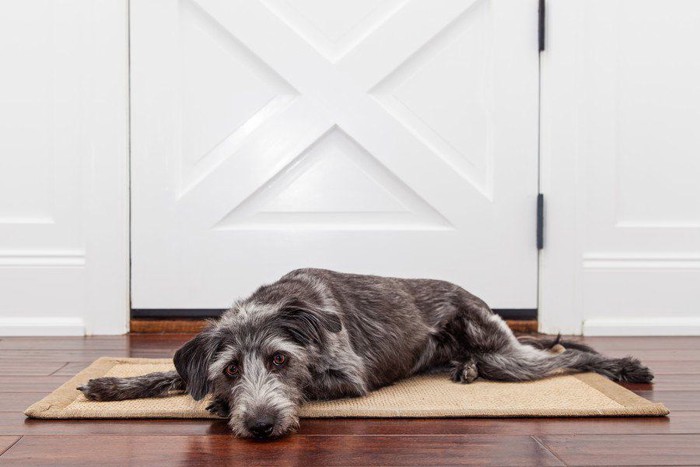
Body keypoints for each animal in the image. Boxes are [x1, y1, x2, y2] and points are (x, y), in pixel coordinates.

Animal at [79, 270, 652, 438]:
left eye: (280, 361)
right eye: (231, 368)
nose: (261, 426)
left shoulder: (349, 378)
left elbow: (314, 383)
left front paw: (222, 407)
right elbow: (169, 375)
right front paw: (110, 385)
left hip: (504, 356)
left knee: (566, 356)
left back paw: (622, 366)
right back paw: (462, 369)